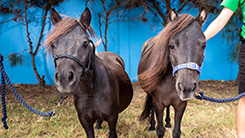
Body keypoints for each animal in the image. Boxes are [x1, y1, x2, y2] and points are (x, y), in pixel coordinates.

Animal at [46, 7, 134, 138]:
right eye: (52, 44)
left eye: (85, 43)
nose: (64, 79)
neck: (90, 91)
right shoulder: (85, 121)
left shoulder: (112, 118)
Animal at [138, 8, 207, 138]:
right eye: (171, 45)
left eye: (203, 45)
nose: (187, 87)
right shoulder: (158, 104)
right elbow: (160, 130)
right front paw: (155, 127)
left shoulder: (181, 105)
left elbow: (176, 131)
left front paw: (170, 125)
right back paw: (151, 126)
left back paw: (168, 122)